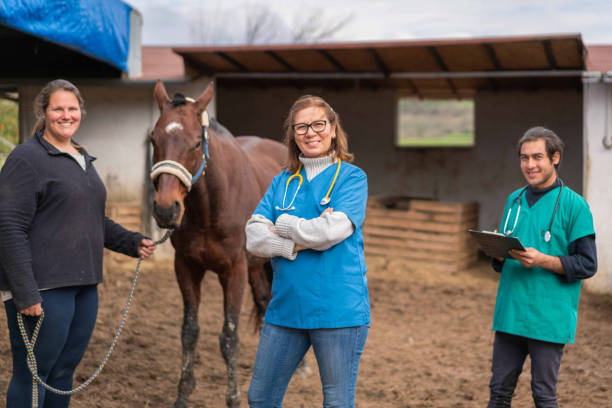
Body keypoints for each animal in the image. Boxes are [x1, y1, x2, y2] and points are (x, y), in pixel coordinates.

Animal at [149, 81, 286, 406]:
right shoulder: (186, 267)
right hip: (256, 267)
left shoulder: (233, 271)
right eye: (153, 139)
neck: (208, 209)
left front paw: (234, 397)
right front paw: (183, 394)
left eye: (197, 143)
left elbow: (229, 337)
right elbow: (189, 331)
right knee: (265, 300)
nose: (165, 209)